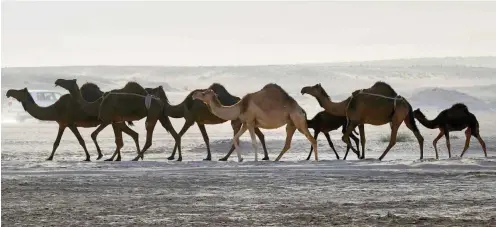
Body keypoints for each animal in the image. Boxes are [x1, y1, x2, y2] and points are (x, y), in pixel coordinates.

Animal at [54, 79, 182, 160]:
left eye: (67, 81)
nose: (57, 81)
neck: (96, 104)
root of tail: (160, 101)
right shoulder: (116, 121)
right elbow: (118, 141)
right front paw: (112, 158)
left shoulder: (108, 120)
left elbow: (95, 135)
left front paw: (104, 156)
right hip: (161, 116)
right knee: (174, 133)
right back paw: (176, 157)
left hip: (152, 115)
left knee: (149, 138)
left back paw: (136, 158)